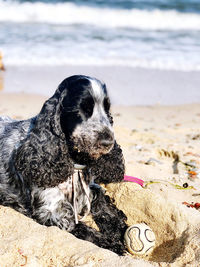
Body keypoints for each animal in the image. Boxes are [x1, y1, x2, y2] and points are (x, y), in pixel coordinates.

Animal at [0, 75, 128, 255]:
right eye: (82, 109)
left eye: (107, 109)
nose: (108, 142)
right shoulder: (53, 212)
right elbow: (83, 229)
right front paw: (111, 243)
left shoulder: (89, 189)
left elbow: (103, 204)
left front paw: (120, 229)